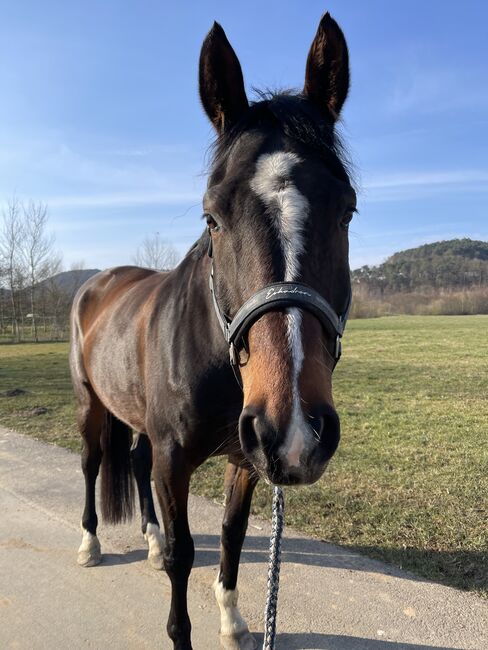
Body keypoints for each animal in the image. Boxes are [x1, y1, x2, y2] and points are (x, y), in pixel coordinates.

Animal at [69, 11, 354, 648]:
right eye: (212, 216)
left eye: (347, 210)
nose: (296, 426)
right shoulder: (178, 459)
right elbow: (183, 558)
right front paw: (184, 627)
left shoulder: (247, 458)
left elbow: (229, 533)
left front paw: (232, 619)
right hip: (90, 405)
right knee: (95, 463)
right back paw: (91, 543)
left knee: (135, 462)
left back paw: (147, 541)